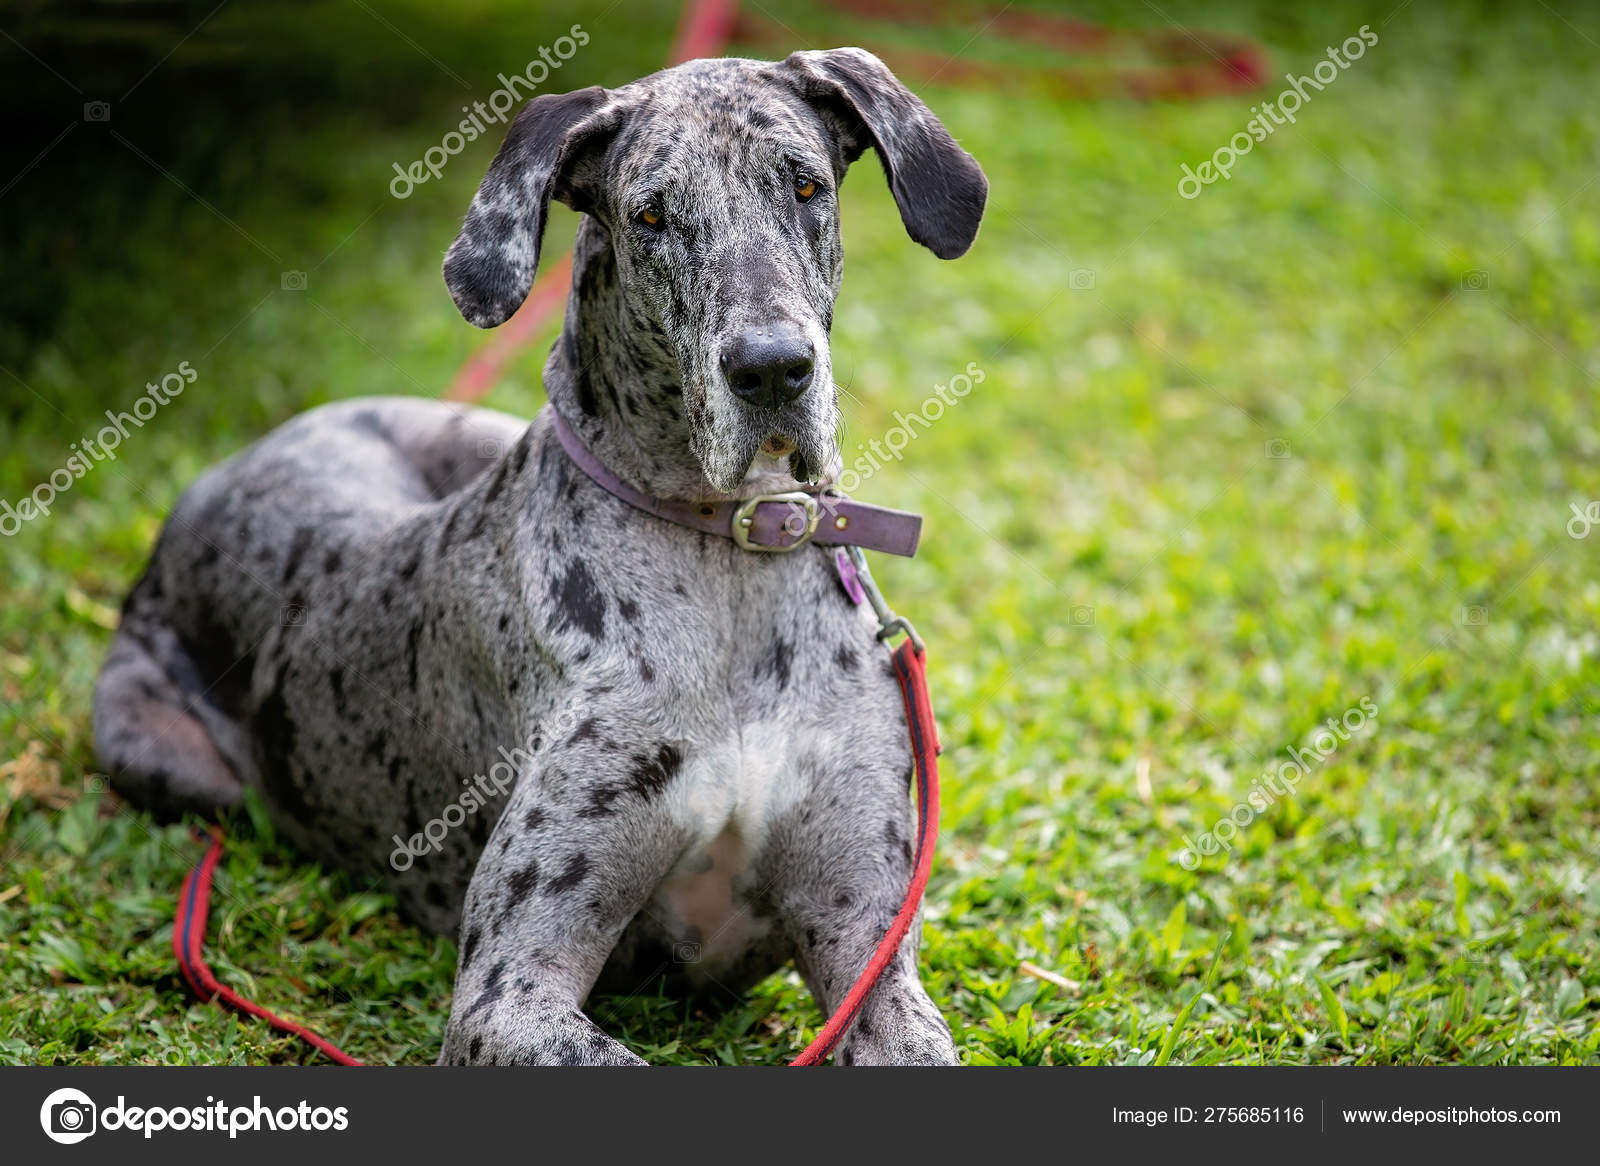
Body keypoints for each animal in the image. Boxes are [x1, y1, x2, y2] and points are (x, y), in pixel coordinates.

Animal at [93, 47, 985, 1062]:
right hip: (162, 756)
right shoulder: (509, 993)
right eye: (650, 216)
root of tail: (223, 472)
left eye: (803, 185)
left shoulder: (872, 949)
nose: (771, 369)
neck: (728, 555)